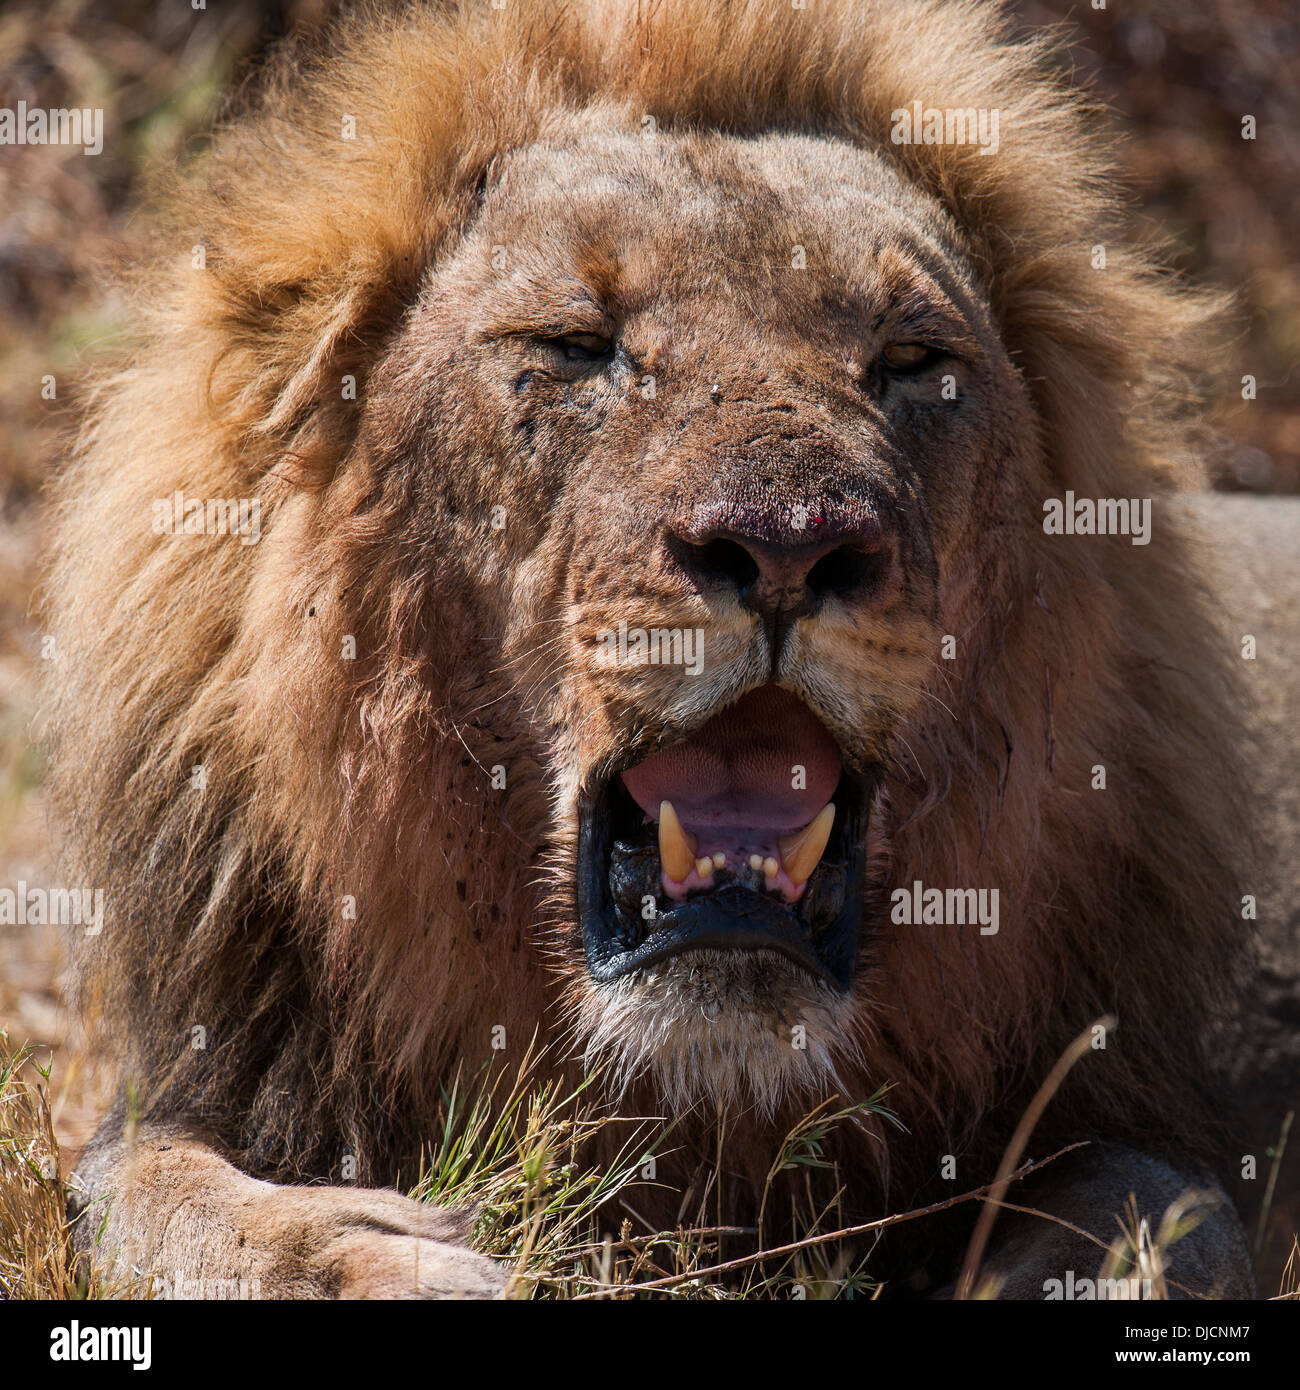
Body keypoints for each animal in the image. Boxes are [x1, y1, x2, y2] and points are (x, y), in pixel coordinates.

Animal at [44, 0, 1256, 1298]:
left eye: (914, 364)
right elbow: (128, 1190)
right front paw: (377, 1259)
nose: (788, 543)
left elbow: (1153, 1202)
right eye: (577, 345)